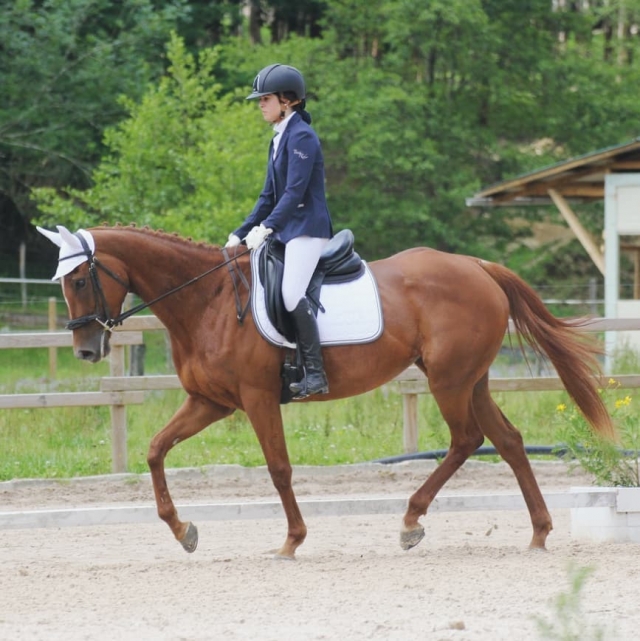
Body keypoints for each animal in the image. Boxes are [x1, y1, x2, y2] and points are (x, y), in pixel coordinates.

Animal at [39, 223, 614, 558]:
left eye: (81, 280)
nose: (86, 351)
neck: (207, 301)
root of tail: (477, 266)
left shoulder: (256, 398)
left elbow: (278, 468)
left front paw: (291, 540)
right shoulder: (212, 402)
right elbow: (156, 449)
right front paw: (183, 531)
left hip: (448, 381)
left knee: (466, 440)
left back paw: (411, 520)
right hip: (470, 380)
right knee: (509, 440)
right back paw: (538, 532)